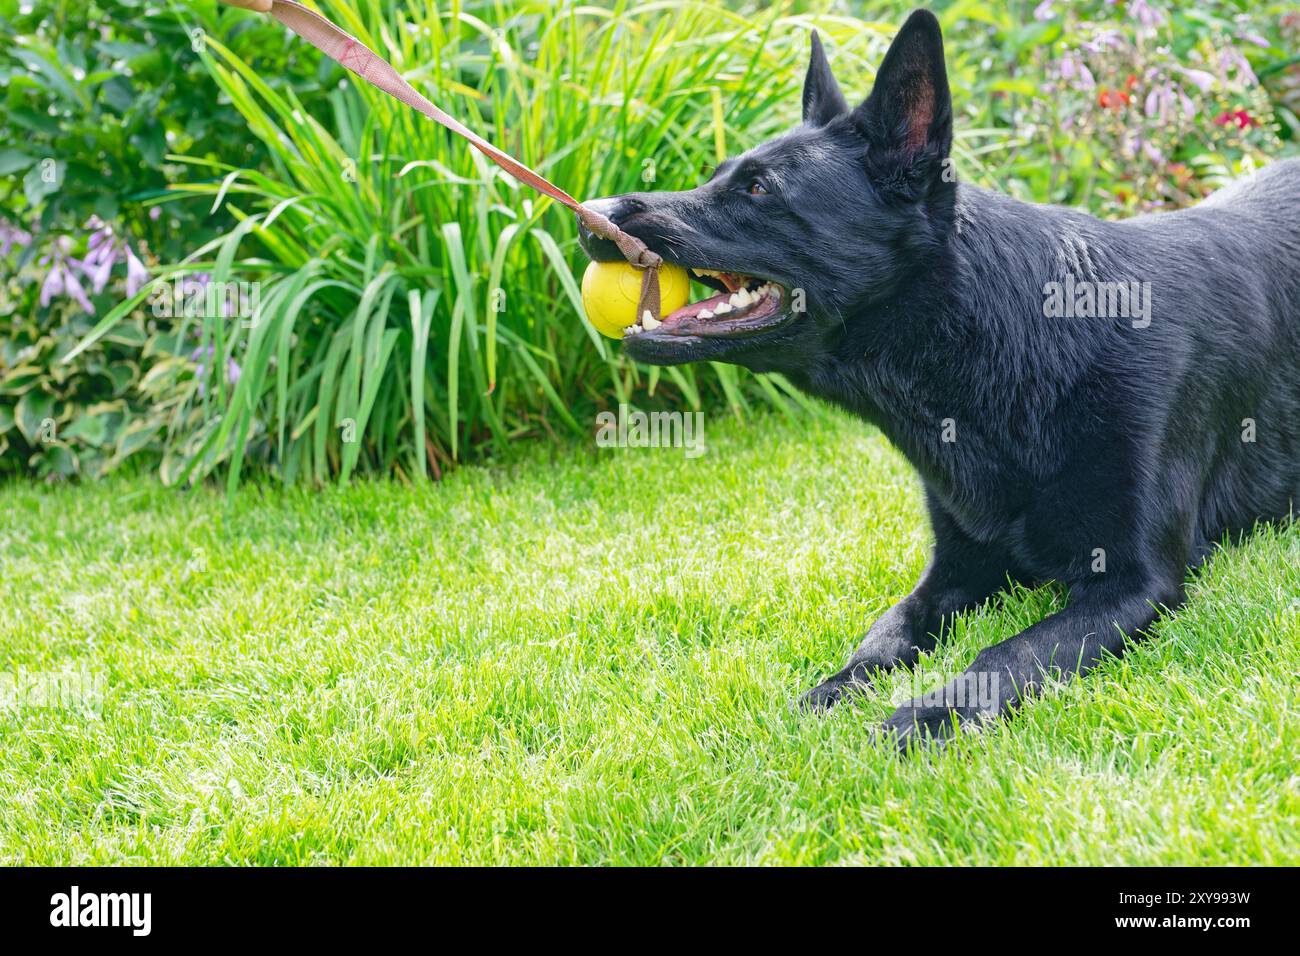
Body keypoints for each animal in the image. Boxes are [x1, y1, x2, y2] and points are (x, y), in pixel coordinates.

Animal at [577, 11, 1300, 749]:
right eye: (719, 174)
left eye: (759, 188)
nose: (587, 212)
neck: (1016, 346)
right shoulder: (953, 568)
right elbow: (885, 633)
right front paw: (833, 693)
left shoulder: (1134, 584)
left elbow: (1007, 652)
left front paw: (926, 714)